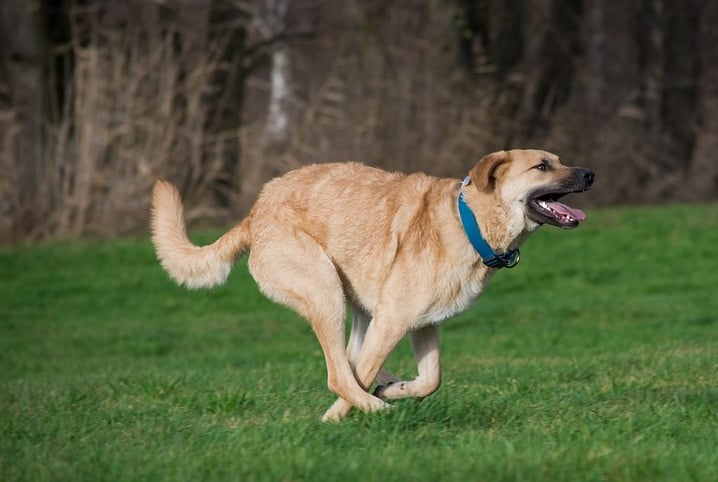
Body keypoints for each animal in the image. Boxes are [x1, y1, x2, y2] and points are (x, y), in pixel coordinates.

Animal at [152, 149, 596, 420]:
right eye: (542, 166)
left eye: (558, 160)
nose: (590, 173)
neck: (469, 221)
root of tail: (254, 213)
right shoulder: (394, 319)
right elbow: (357, 376)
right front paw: (336, 419)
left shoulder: (423, 324)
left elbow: (431, 379)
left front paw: (394, 390)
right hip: (326, 293)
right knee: (340, 371)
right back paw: (371, 407)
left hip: (358, 307)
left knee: (349, 360)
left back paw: (384, 389)